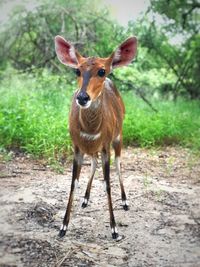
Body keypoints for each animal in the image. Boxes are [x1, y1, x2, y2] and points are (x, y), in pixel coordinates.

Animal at [54, 35, 138, 241]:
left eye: (102, 71)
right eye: (77, 70)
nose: (83, 97)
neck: (90, 130)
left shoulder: (106, 145)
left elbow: (107, 183)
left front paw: (114, 230)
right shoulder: (77, 147)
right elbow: (73, 183)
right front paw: (63, 227)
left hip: (118, 137)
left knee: (118, 164)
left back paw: (125, 201)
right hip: (92, 149)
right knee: (94, 162)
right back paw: (85, 199)